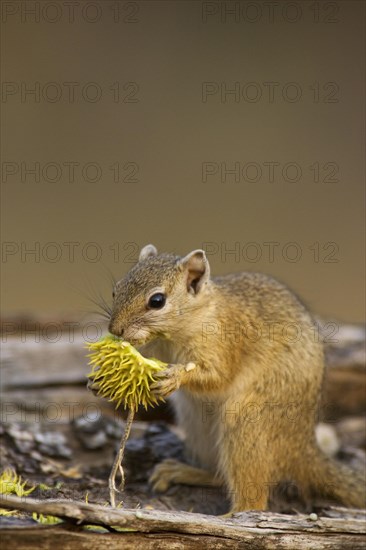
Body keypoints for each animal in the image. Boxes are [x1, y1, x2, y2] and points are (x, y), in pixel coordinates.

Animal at [107, 245, 364, 512]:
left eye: (157, 301)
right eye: (116, 290)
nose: (115, 330)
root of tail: (301, 448)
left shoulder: (224, 346)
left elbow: (217, 377)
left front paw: (175, 377)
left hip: (247, 423)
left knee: (253, 503)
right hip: (198, 427)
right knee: (219, 475)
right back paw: (180, 472)